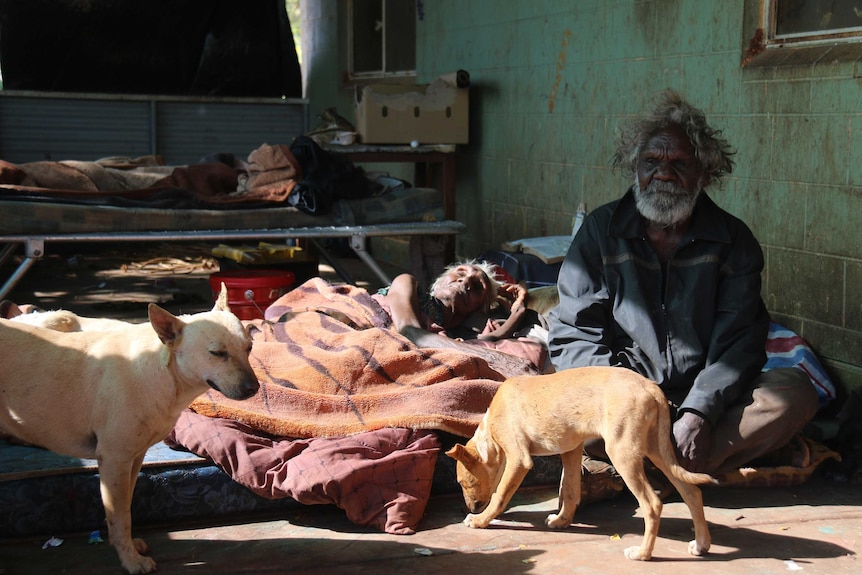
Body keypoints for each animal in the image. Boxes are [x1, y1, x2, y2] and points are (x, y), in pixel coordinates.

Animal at [0, 290, 260, 572]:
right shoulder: (115, 460)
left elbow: (125, 507)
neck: (165, 370)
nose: (254, 389)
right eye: (217, 353)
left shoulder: (134, 458)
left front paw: (128, 546)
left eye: (249, 348)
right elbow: (119, 514)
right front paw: (131, 561)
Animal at [446, 366, 716, 560]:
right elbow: (570, 490)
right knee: (691, 492)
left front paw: (480, 521)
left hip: (622, 453)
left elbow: (500, 494)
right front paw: (562, 520)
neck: (490, 429)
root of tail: (651, 387)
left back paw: (643, 554)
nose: (467, 508)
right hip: (658, 451)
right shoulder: (572, 451)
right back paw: (701, 545)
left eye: (463, 483)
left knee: (652, 504)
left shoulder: (520, 460)